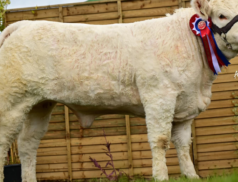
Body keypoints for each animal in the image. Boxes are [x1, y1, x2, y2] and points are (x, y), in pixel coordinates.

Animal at [0, 0, 237, 181]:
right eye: (222, 15)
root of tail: (21, 25)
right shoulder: (159, 97)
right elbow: (160, 140)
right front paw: (161, 176)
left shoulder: (185, 105)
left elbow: (183, 144)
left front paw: (191, 176)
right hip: (11, 101)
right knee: (4, 142)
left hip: (40, 103)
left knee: (28, 144)